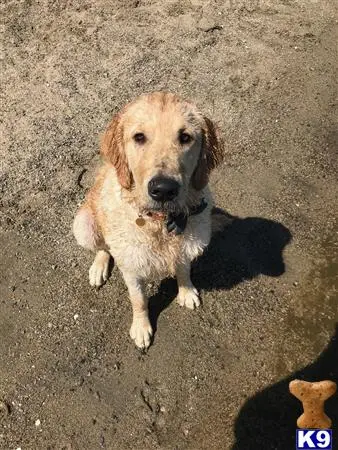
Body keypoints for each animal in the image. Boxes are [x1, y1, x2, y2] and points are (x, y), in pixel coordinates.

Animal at [72, 91, 223, 350]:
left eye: (185, 137)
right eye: (139, 137)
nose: (163, 190)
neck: (160, 223)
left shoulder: (187, 246)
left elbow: (184, 270)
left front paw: (186, 292)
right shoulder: (132, 269)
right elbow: (139, 300)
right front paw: (141, 328)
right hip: (83, 226)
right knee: (104, 248)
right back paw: (98, 268)